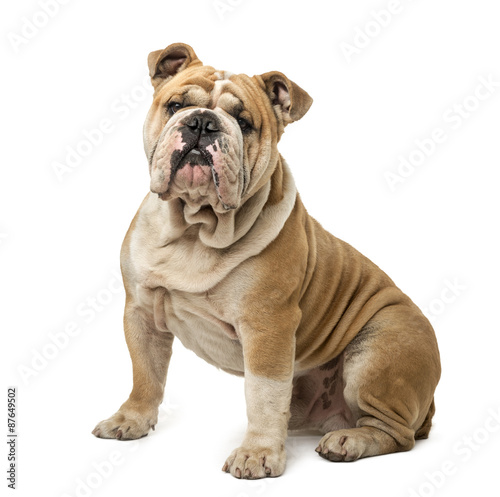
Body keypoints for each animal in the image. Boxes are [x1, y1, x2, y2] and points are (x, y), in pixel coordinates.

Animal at [92, 42, 440, 476]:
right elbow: (146, 374)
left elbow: (263, 395)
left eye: (244, 123)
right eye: (175, 106)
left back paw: (349, 441)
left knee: (397, 432)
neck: (194, 227)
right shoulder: (140, 313)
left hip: (377, 353)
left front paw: (257, 453)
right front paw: (131, 419)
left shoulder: (267, 327)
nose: (202, 123)